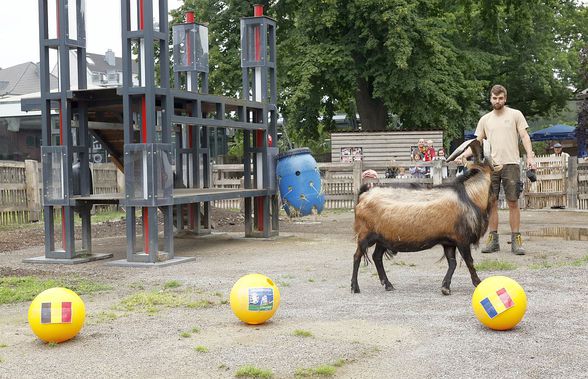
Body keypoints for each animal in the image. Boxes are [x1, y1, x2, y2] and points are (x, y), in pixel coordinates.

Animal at [352, 140, 494, 296]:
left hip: (382, 238)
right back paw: (355, 287)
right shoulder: (462, 239)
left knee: (376, 256)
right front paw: (478, 283)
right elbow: (469, 261)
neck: (469, 195)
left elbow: (452, 262)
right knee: (357, 255)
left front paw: (445, 287)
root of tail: (364, 195)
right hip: (365, 234)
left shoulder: (448, 241)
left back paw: (388, 285)